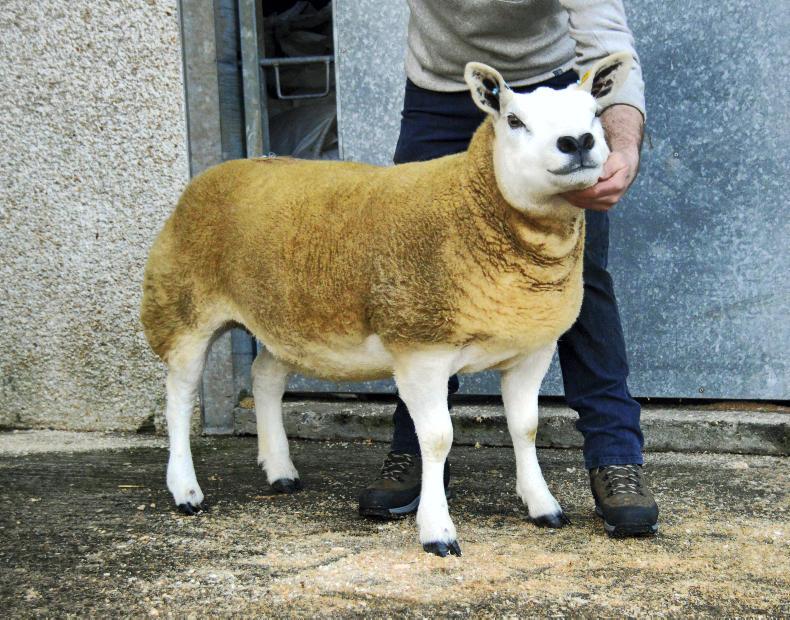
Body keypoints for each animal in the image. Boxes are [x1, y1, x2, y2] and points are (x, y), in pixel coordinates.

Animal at [140, 53, 633, 557]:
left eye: (595, 113)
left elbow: (525, 427)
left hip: (286, 316)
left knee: (265, 378)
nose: (578, 142)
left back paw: (280, 471)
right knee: (180, 396)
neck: (474, 207)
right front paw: (437, 531)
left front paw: (542, 505)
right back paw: (186, 490)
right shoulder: (421, 348)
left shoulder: (531, 348)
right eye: (514, 120)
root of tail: (216, 172)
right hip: (182, 304)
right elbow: (436, 439)